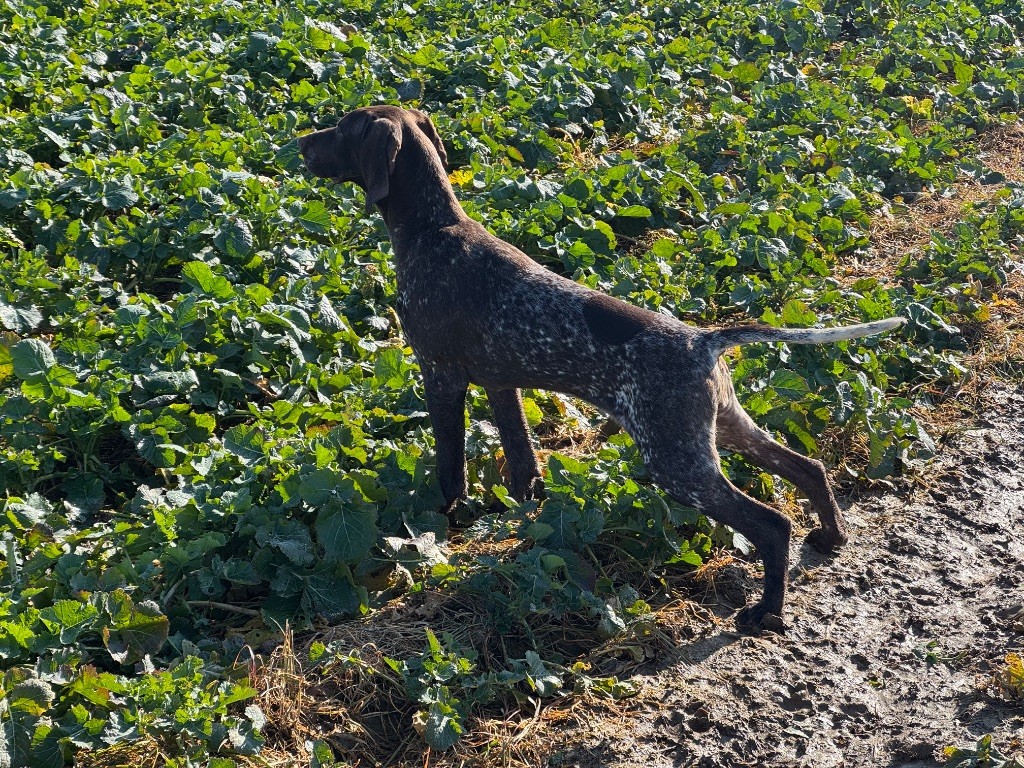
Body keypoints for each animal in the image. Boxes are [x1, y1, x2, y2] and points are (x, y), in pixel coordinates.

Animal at [296, 103, 905, 630]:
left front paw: (439, 525)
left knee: (773, 524)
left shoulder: (441, 377)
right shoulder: (501, 384)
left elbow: (451, 468)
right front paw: (525, 525)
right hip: (720, 431)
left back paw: (766, 612)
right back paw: (831, 537)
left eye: (343, 129)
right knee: (810, 468)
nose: (300, 143)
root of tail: (705, 340)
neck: (432, 226)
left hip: (676, 462)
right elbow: (523, 466)